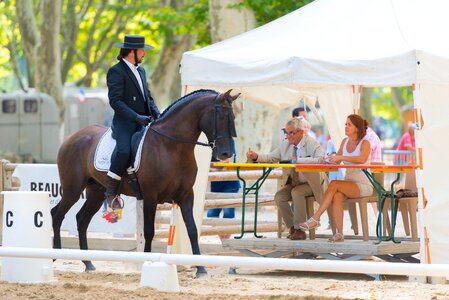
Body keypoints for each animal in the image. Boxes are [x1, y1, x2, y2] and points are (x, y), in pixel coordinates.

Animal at [51, 89, 240, 274]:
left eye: (232, 117)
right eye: (221, 116)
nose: (226, 154)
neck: (171, 146)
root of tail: (71, 138)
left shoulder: (186, 195)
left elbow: (192, 230)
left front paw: (200, 268)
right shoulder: (150, 196)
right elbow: (149, 231)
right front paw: (146, 262)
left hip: (96, 192)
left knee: (81, 219)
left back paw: (88, 263)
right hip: (73, 189)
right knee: (57, 214)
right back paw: (54, 255)